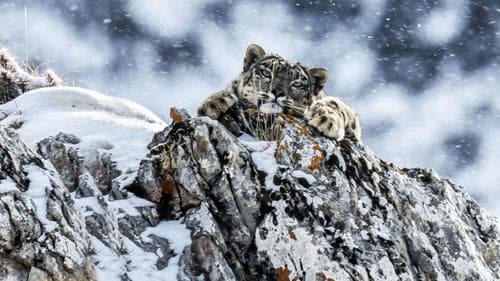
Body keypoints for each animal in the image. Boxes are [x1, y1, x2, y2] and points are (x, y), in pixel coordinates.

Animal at [197, 44, 362, 142]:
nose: (277, 91)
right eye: (266, 73)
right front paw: (214, 103)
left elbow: (334, 103)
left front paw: (326, 120)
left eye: (297, 83)